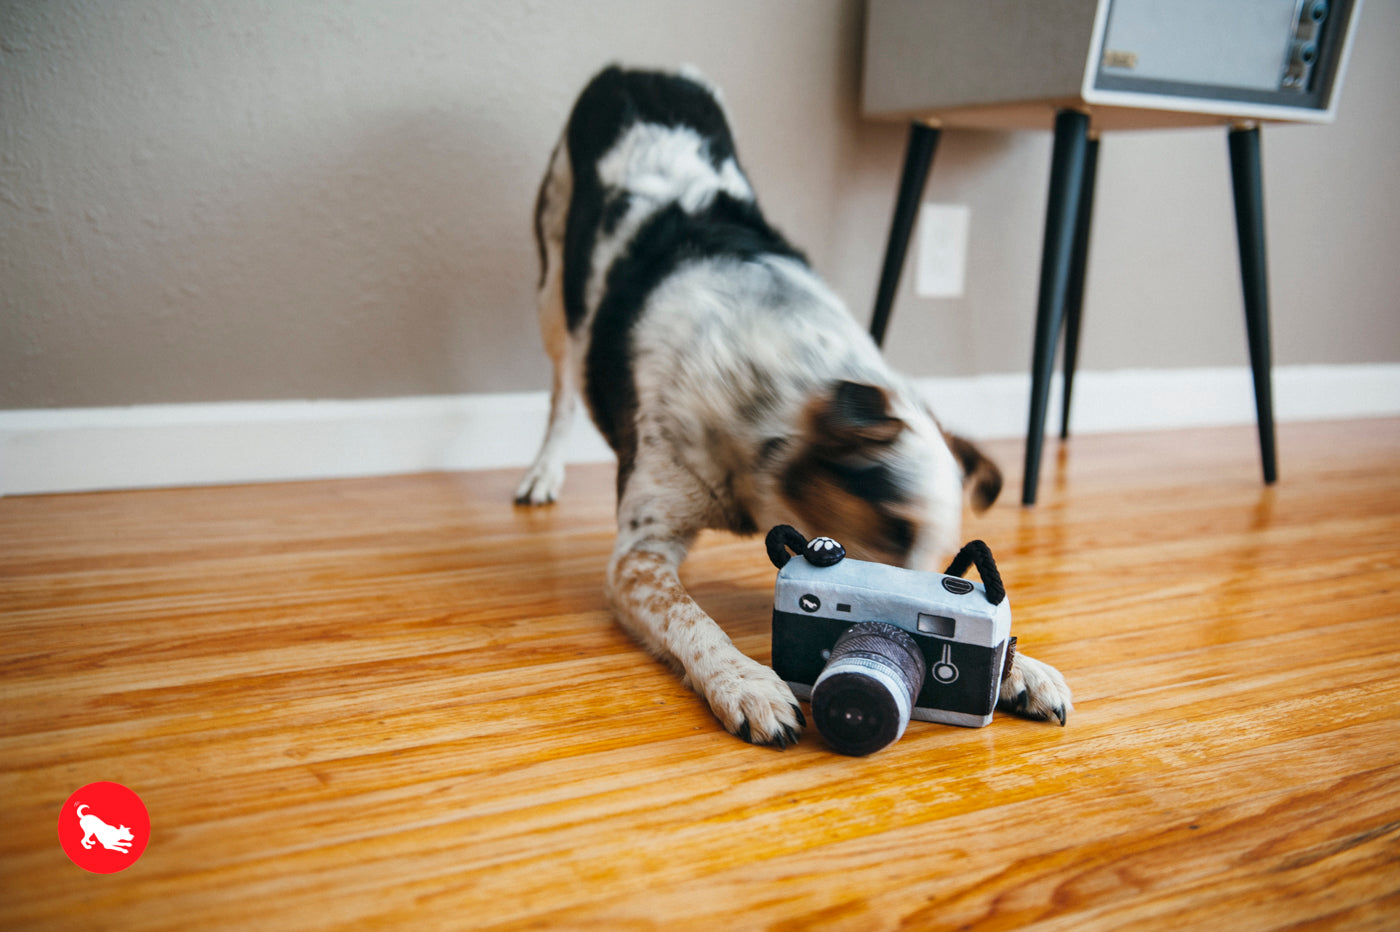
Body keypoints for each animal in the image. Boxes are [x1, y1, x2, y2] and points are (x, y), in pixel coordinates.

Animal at [518, 65, 1069, 744]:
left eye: (949, 569)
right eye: (891, 530)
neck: (769, 401)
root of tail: (636, 70)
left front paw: (1021, 669)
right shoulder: (638, 557)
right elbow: (690, 617)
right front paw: (746, 682)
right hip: (554, 289)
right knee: (562, 387)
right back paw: (542, 473)